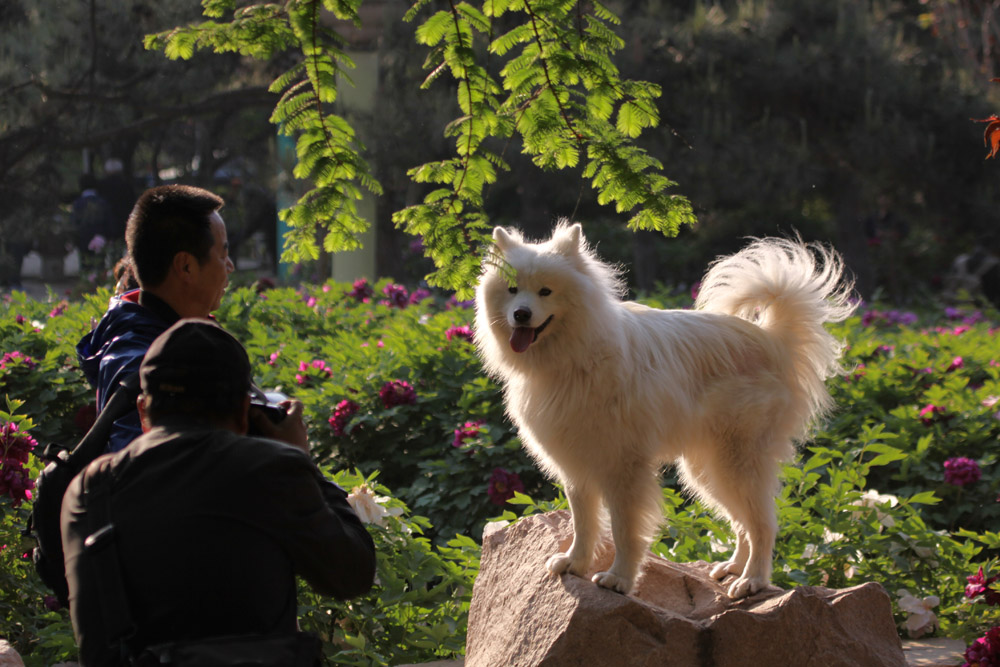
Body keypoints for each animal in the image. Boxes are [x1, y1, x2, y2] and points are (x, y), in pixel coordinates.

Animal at [472, 224, 856, 600]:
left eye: (545, 291)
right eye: (512, 290)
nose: (521, 314)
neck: (577, 356)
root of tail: (773, 340)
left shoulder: (624, 468)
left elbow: (624, 530)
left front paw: (619, 579)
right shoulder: (578, 466)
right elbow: (584, 524)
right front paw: (575, 564)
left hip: (735, 463)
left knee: (763, 523)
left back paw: (753, 581)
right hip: (708, 469)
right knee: (743, 522)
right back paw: (733, 568)